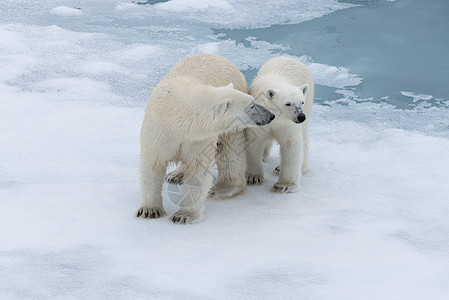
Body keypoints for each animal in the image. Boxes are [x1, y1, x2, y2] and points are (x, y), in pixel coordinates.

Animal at [245, 56, 316, 192]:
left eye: (301, 102)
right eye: (287, 103)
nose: (301, 117)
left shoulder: (287, 124)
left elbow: (290, 143)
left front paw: (284, 185)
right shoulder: (260, 118)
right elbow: (255, 141)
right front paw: (254, 178)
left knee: (304, 136)